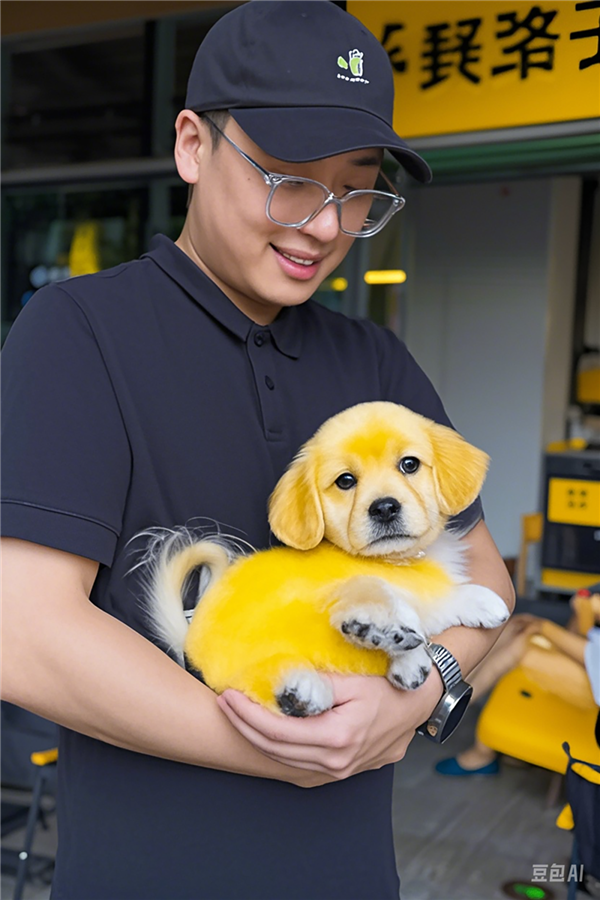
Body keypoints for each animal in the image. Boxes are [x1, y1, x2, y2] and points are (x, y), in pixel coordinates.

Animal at [138, 404, 508, 712]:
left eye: (409, 464)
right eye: (345, 481)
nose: (385, 507)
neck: (396, 561)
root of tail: (189, 638)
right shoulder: (397, 590)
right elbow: (429, 599)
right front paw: (479, 603)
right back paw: (300, 686)